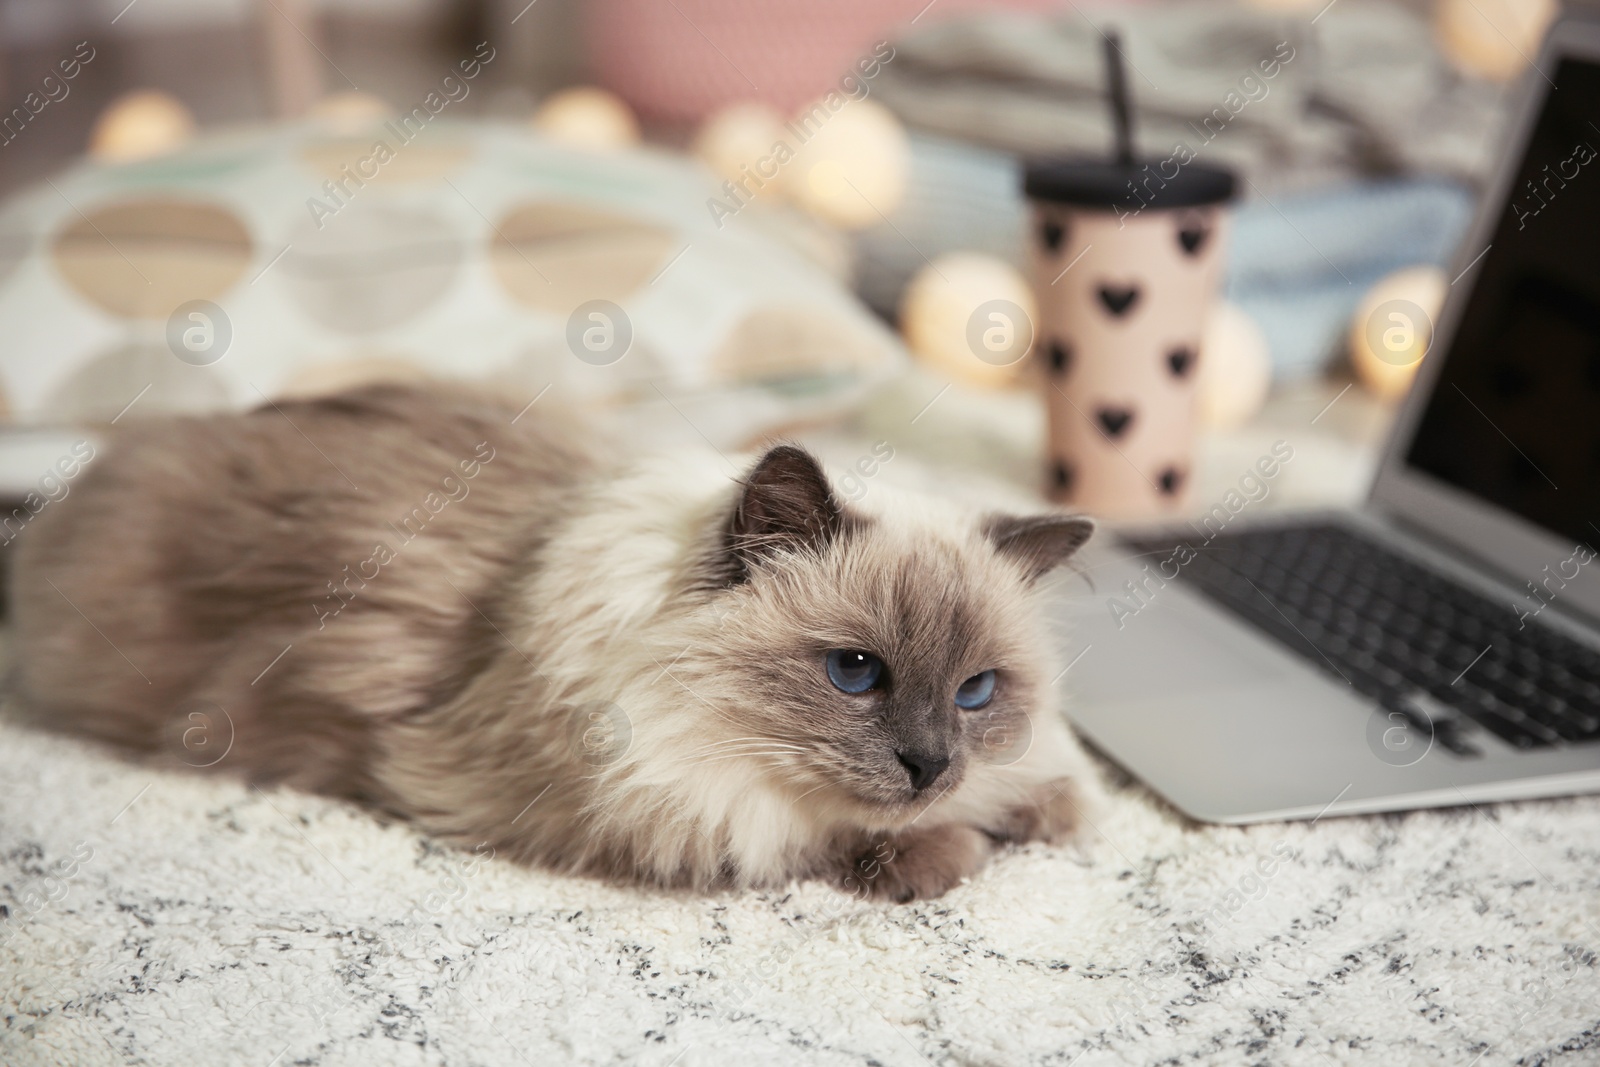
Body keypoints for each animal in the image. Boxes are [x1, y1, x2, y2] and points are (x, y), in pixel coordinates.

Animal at [6, 383, 1094, 902]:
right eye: (854, 671)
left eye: (976, 692)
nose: (930, 764)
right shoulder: (666, 804)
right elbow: (876, 838)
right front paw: (957, 841)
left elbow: (1048, 791)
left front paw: (1045, 808)